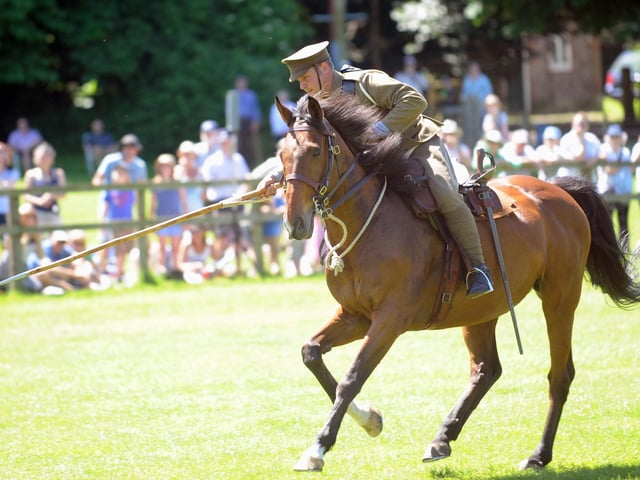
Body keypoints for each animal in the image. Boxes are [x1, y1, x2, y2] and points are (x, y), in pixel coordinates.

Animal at [274, 92, 640, 472]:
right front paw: (370, 419)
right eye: (282, 156)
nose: (296, 223)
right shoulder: (355, 315)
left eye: (315, 151)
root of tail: (557, 190)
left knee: (560, 374)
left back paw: (538, 454)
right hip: (481, 311)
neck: (368, 221)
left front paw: (318, 448)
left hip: (560, 297)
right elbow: (312, 354)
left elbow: (351, 379)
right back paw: (442, 439)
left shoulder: (389, 320)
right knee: (486, 370)